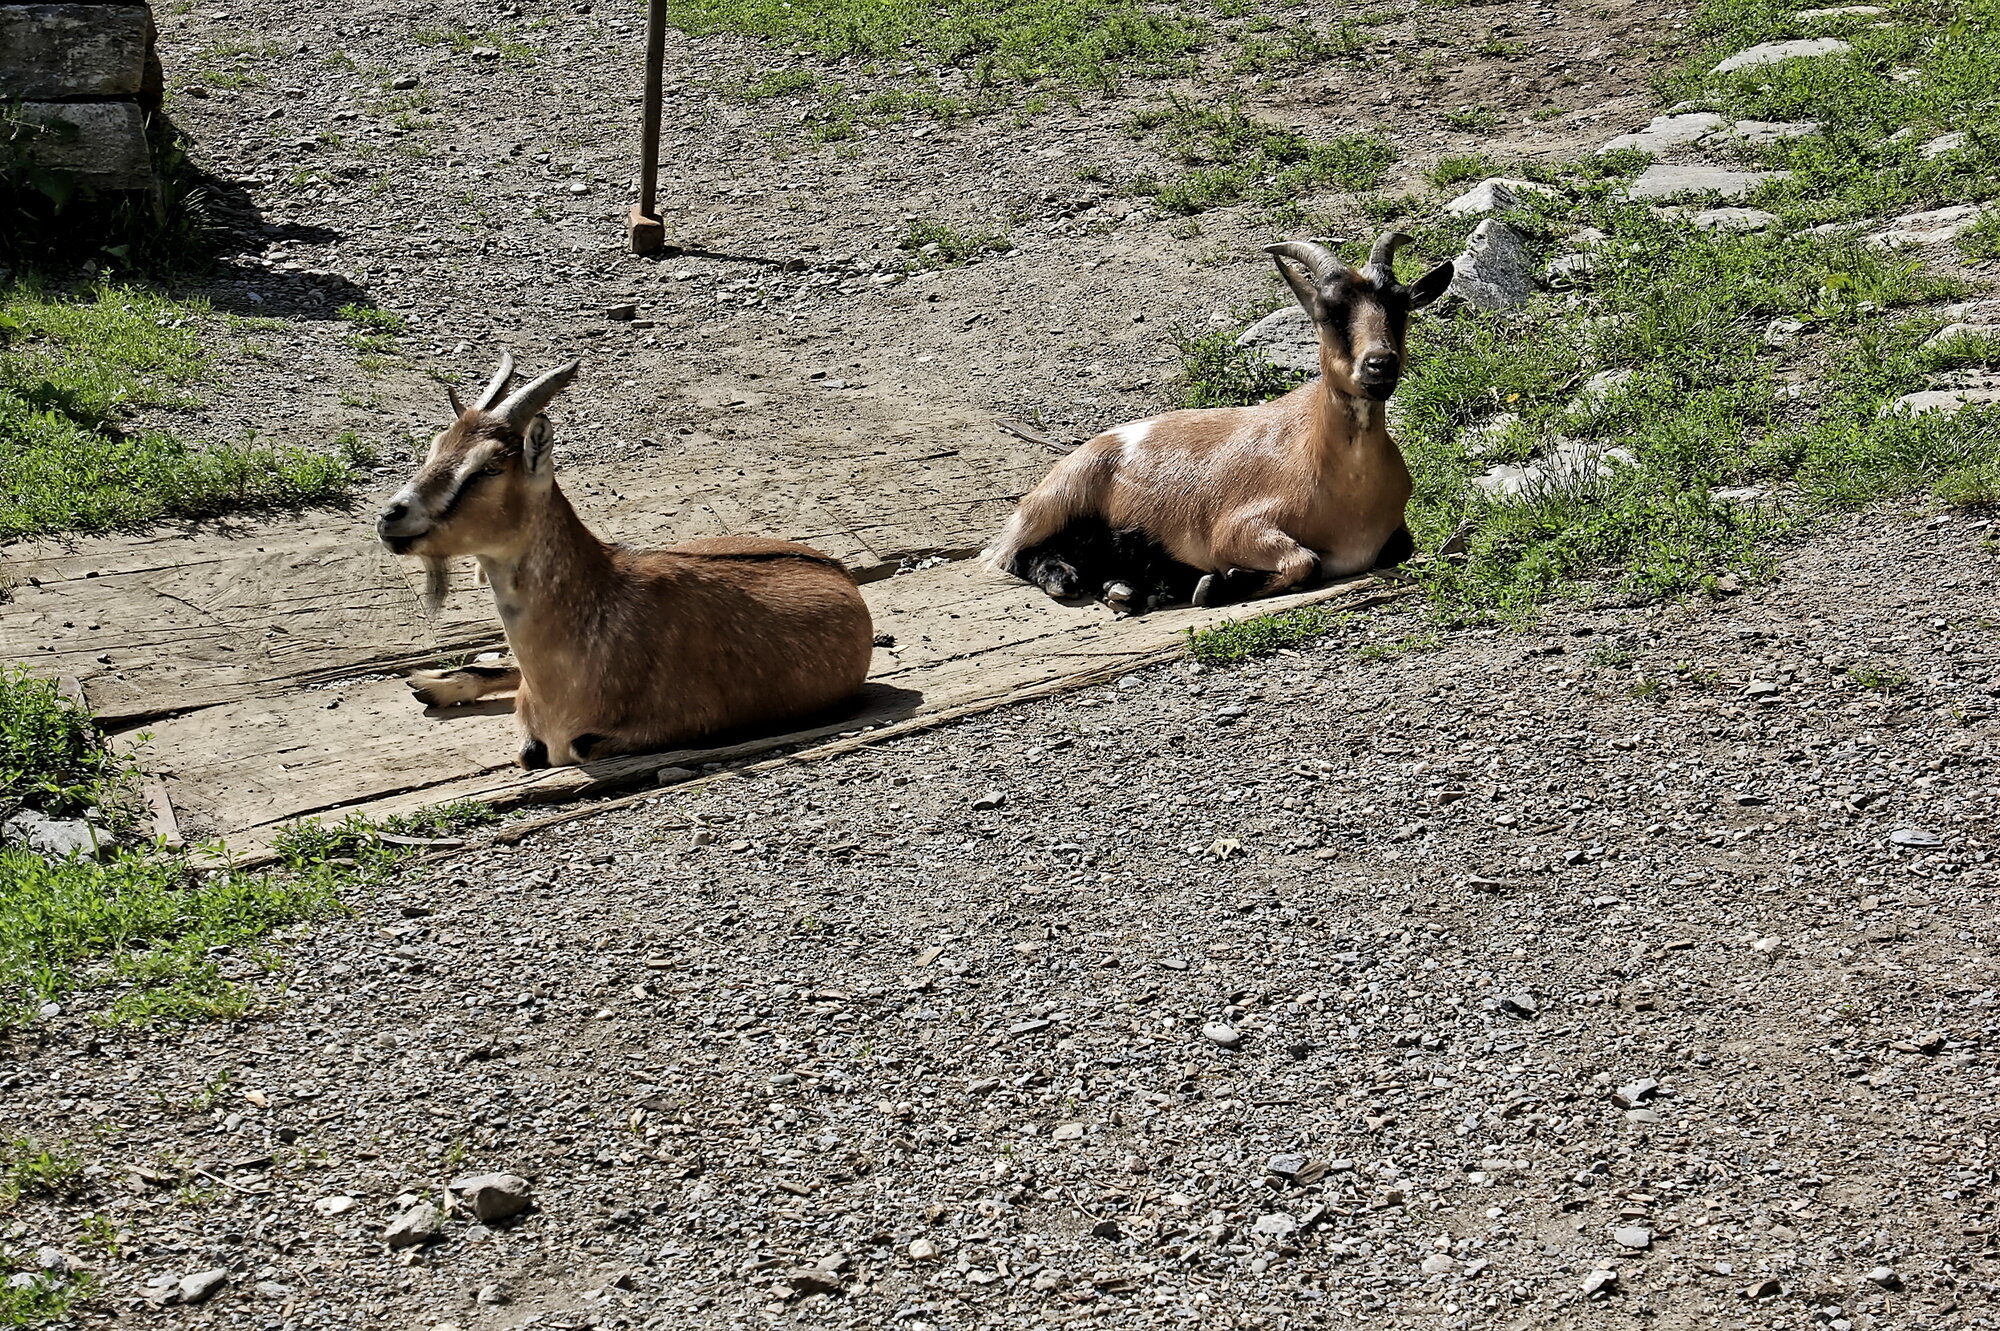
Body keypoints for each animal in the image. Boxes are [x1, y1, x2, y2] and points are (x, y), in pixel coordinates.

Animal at [376, 351, 876, 767]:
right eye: (436, 447)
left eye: (489, 467)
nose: (390, 517)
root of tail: (838, 571)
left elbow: (577, 746)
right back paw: (431, 685)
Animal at [988, 232, 1448, 607]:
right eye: (1328, 312)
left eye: (1401, 306)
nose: (1380, 365)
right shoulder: (1238, 527)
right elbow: (1306, 562)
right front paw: (1215, 586)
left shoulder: (1397, 534)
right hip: (1063, 497)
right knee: (1012, 555)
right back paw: (1070, 579)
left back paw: (1132, 587)